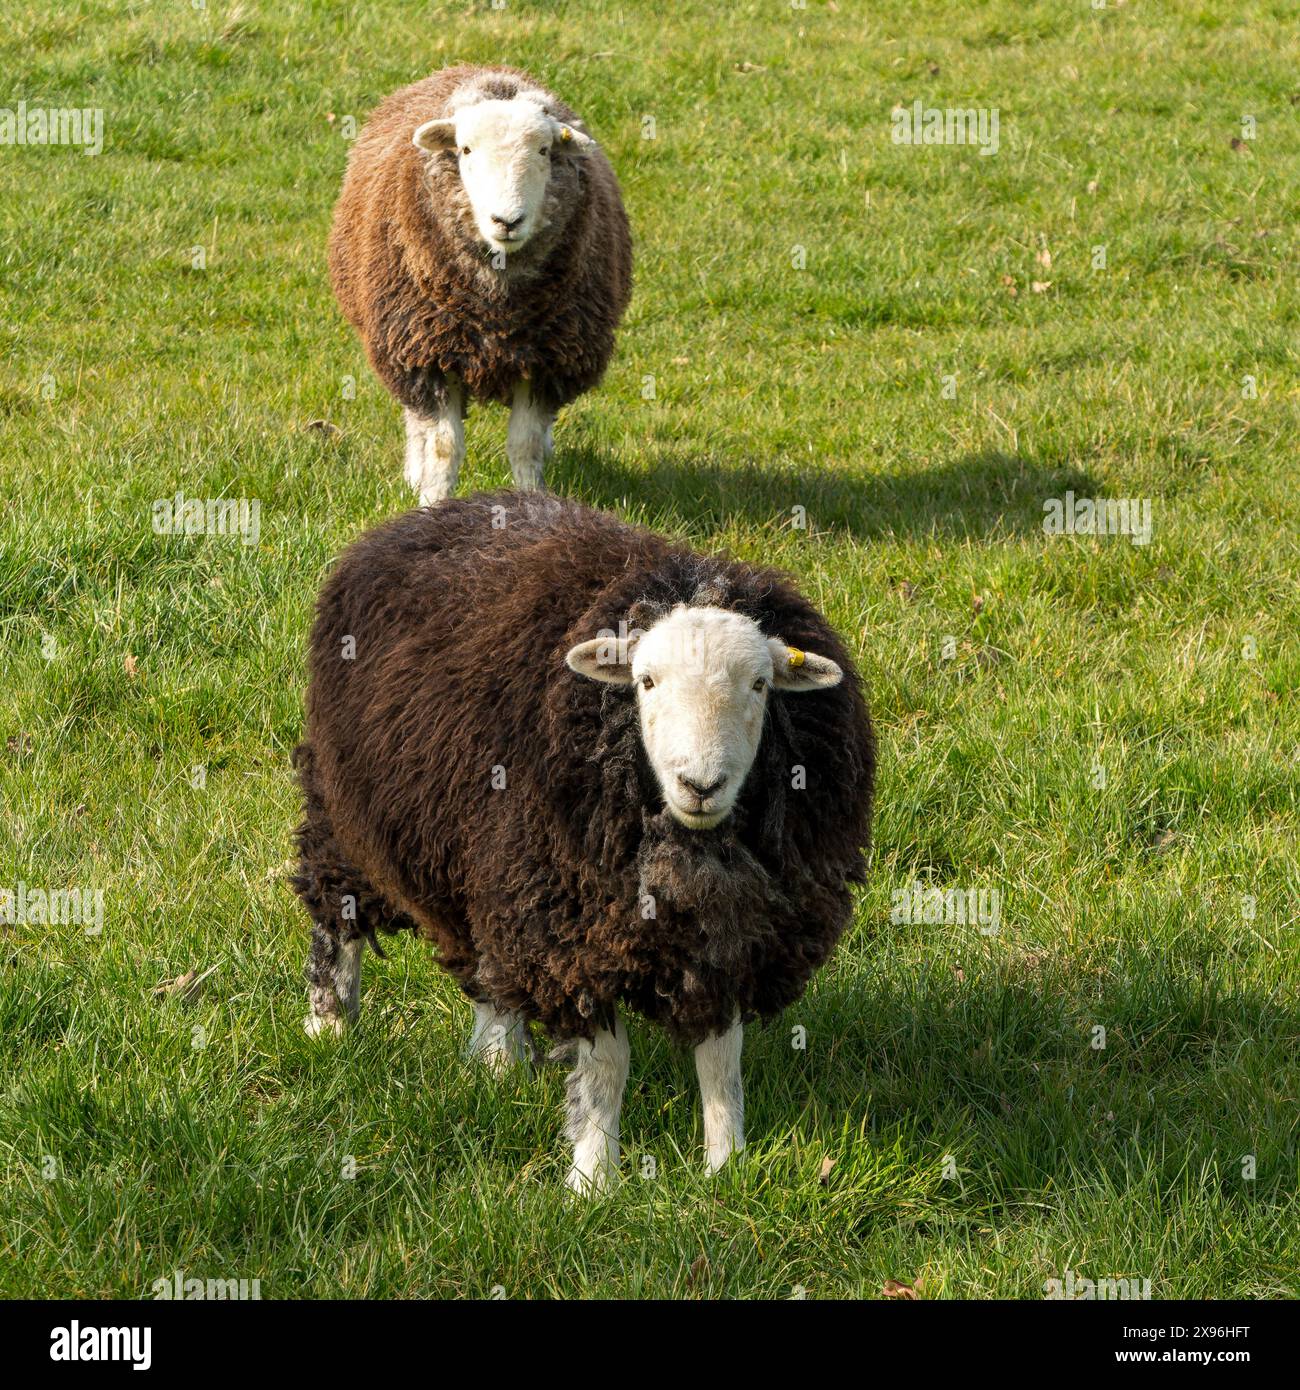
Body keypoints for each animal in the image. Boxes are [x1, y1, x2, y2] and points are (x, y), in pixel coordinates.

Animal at [290, 492, 878, 1195]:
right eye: (646, 681)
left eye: (761, 686)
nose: (700, 784)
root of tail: (432, 514)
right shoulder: (579, 932)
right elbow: (606, 1066)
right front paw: (594, 1178)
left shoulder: (733, 930)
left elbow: (721, 1058)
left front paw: (726, 1167)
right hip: (346, 811)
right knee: (337, 912)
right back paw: (330, 1024)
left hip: (487, 861)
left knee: (487, 960)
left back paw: (498, 1063)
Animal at [325, 65, 631, 508]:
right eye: (466, 150)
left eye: (544, 151)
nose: (507, 220)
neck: (496, 306)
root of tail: (478, 69)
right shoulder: (429, 354)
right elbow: (443, 447)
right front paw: (431, 504)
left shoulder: (545, 361)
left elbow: (525, 445)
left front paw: (532, 502)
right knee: (415, 422)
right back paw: (413, 472)